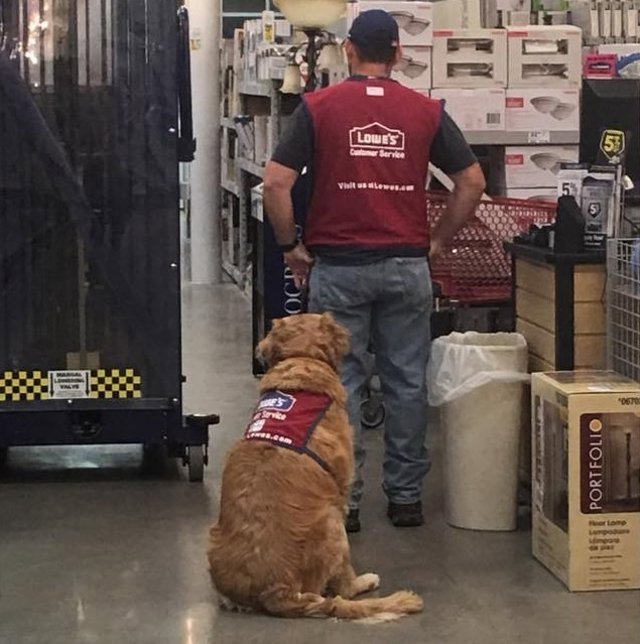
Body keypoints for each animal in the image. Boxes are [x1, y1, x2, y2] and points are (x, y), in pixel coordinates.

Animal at [207, 312, 423, 621]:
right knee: (343, 588)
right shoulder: (342, 487)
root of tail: (274, 591)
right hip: (332, 521)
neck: (302, 358)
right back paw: (364, 580)